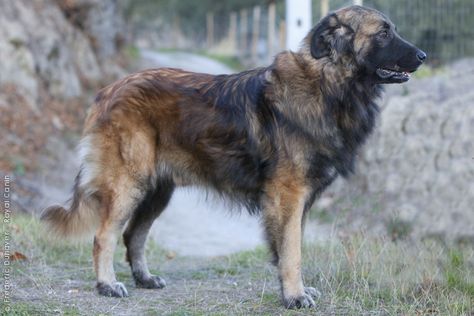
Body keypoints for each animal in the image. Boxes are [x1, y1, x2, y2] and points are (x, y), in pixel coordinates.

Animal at [41, 5, 426, 308]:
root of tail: (108, 91)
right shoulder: (289, 195)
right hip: (129, 184)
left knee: (133, 235)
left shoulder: (300, 200)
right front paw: (294, 296)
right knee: (104, 236)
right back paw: (107, 285)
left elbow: (292, 247)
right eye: (384, 33)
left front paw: (295, 289)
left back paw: (145, 279)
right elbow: (292, 251)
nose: (423, 56)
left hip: (156, 191)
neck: (328, 84)